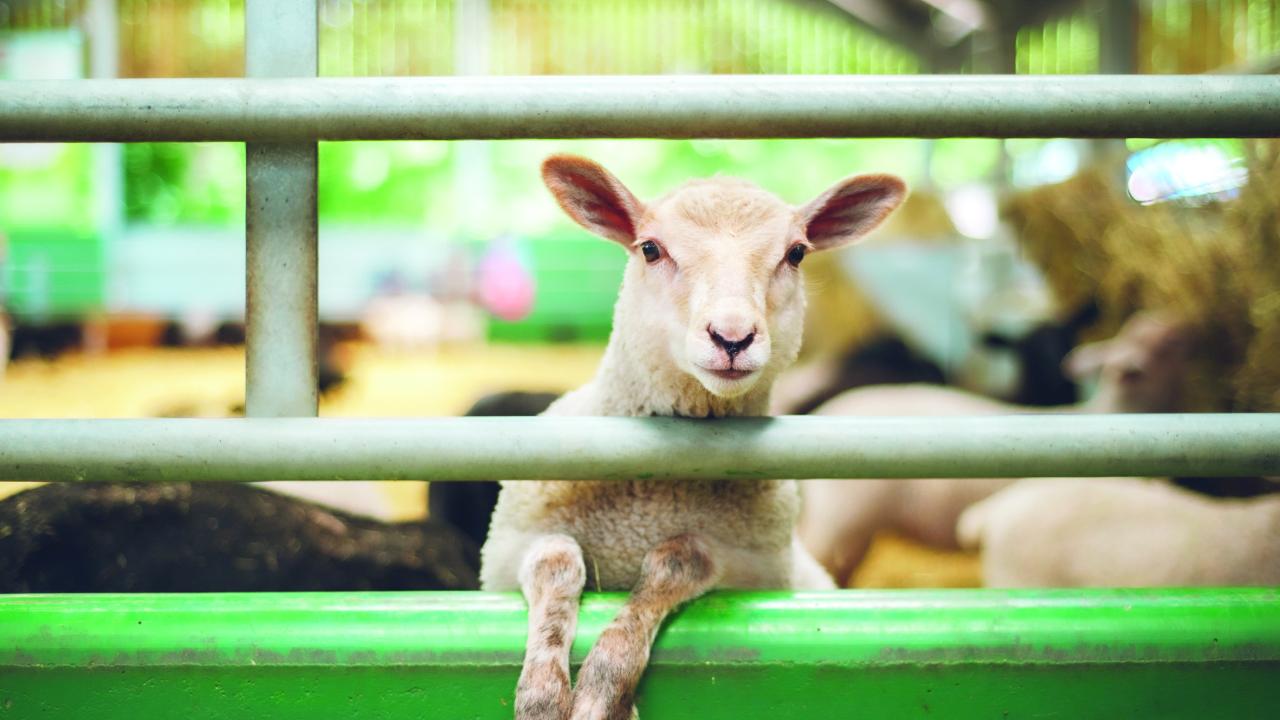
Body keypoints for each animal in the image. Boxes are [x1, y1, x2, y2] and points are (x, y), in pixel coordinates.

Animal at [480, 154, 905, 720]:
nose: (732, 337)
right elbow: (556, 562)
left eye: (795, 253)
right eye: (650, 248)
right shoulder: (507, 553)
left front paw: (601, 693)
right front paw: (543, 695)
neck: (651, 498)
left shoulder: (747, 565)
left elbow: (677, 562)